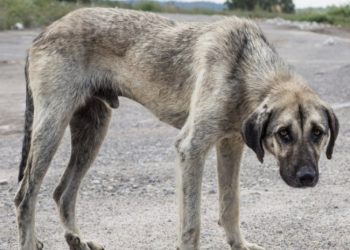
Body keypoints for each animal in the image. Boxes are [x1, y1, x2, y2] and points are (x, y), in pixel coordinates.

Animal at [14, 7, 340, 250]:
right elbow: (192, 223)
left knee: (62, 192)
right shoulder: (191, 149)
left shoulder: (230, 146)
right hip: (51, 128)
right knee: (25, 196)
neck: (246, 68)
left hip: (92, 131)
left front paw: (239, 244)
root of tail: (43, 33)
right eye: (283, 133)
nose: (307, 178)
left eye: (318, 133)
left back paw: (77, 239)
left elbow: (230, 206)